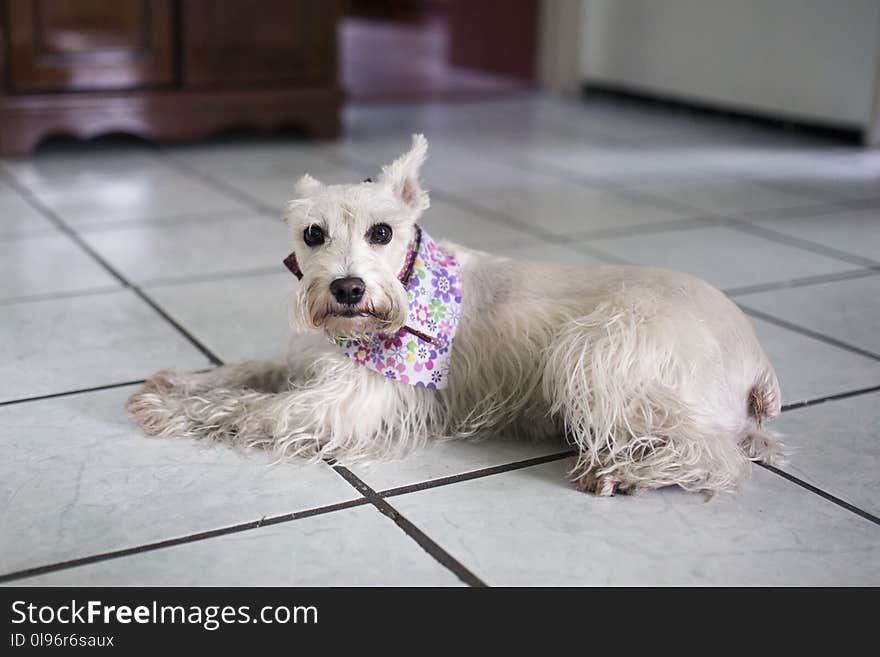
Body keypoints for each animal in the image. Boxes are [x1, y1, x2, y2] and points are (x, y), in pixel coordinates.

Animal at [125, 133, 784, 494]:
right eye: (312, 233)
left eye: (383, 231)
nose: (346, 289)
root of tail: (759, 360)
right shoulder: (310, 361)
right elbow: (247, 374)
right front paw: (178, 383)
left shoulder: (343, 403)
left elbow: (251, 409)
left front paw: (173, 409)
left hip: (597, 355)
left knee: (716, 458)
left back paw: (626, 473)